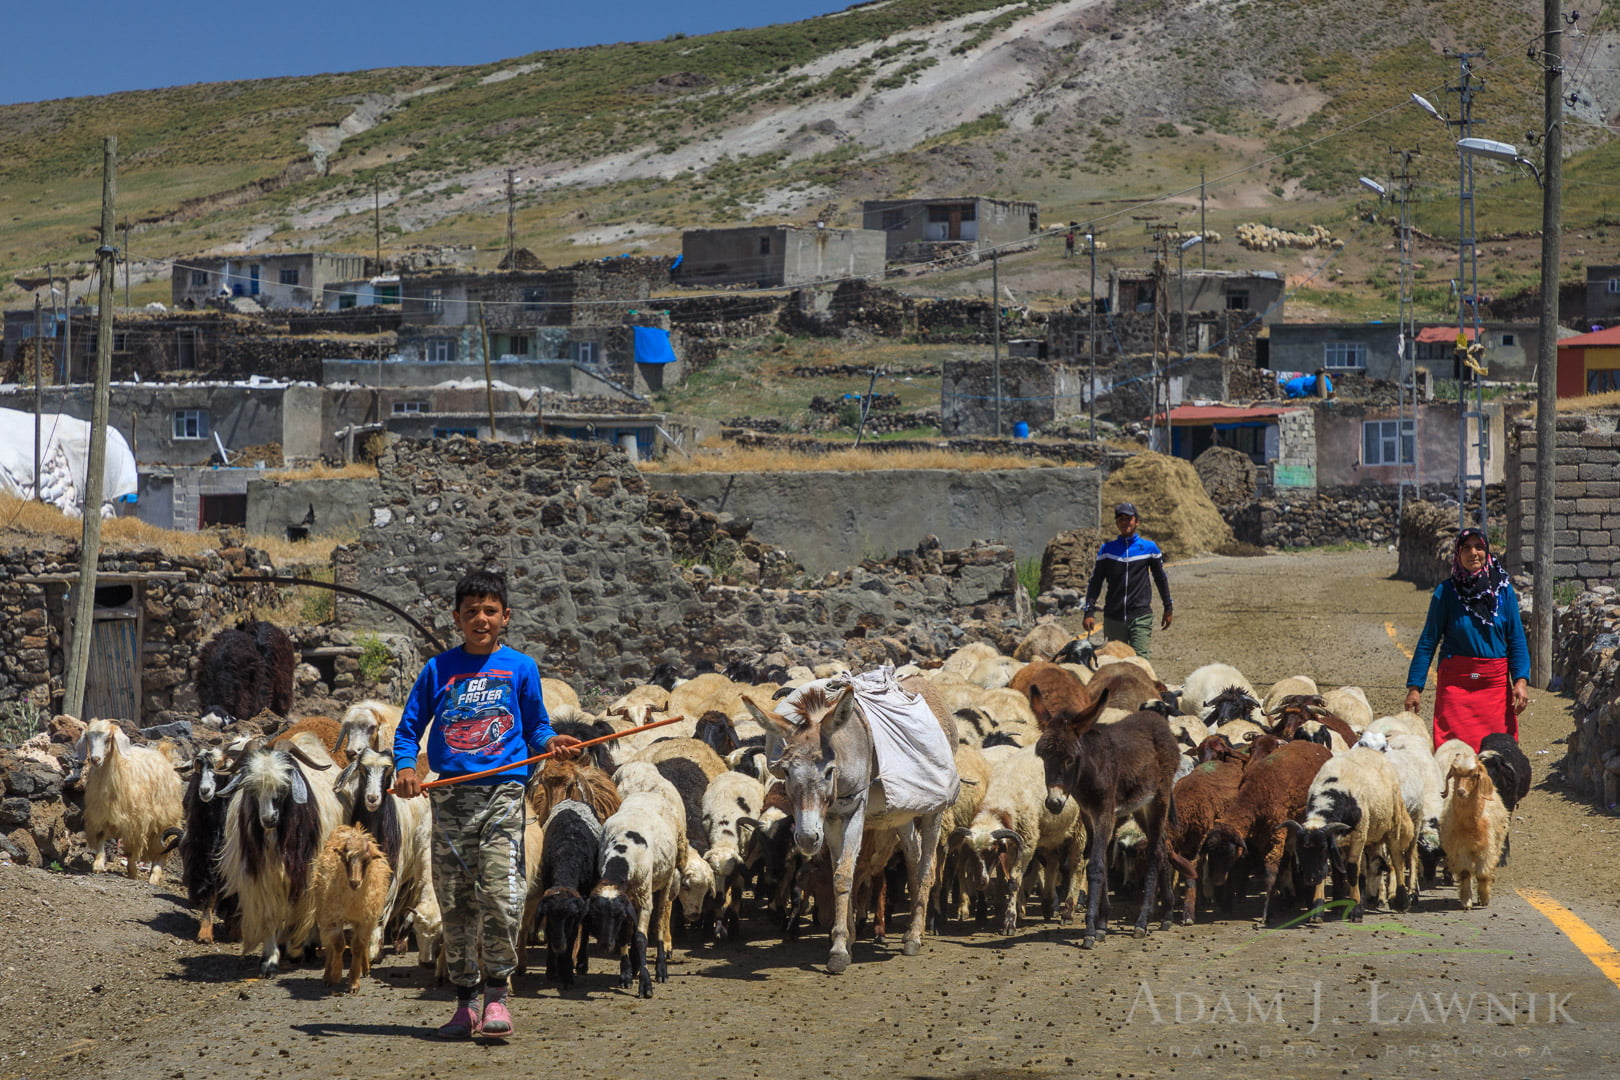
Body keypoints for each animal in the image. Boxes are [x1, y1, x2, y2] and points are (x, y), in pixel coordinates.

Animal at [78, 718, 183, 887]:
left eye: (108, 738)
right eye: (88, 737)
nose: (95, 759)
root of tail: (162, 755)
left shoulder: (136, 821)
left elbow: (133, 850)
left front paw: (133, 872)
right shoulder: (100, 814)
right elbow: (101, 837)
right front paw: (98, 864)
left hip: (166, 818)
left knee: (161, 847)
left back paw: (154, 877)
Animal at [312, 829, 395, 997]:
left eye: (367, 860)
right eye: (345, 859)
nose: (354, 882)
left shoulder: (364, 920)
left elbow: (357, 947)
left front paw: (354, 983)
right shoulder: (334, 917)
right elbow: (338, 945)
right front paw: (336, 973)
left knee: (363, 943)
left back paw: (365, 968)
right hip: (325, 915)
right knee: (329, 946)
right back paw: (327, 976)